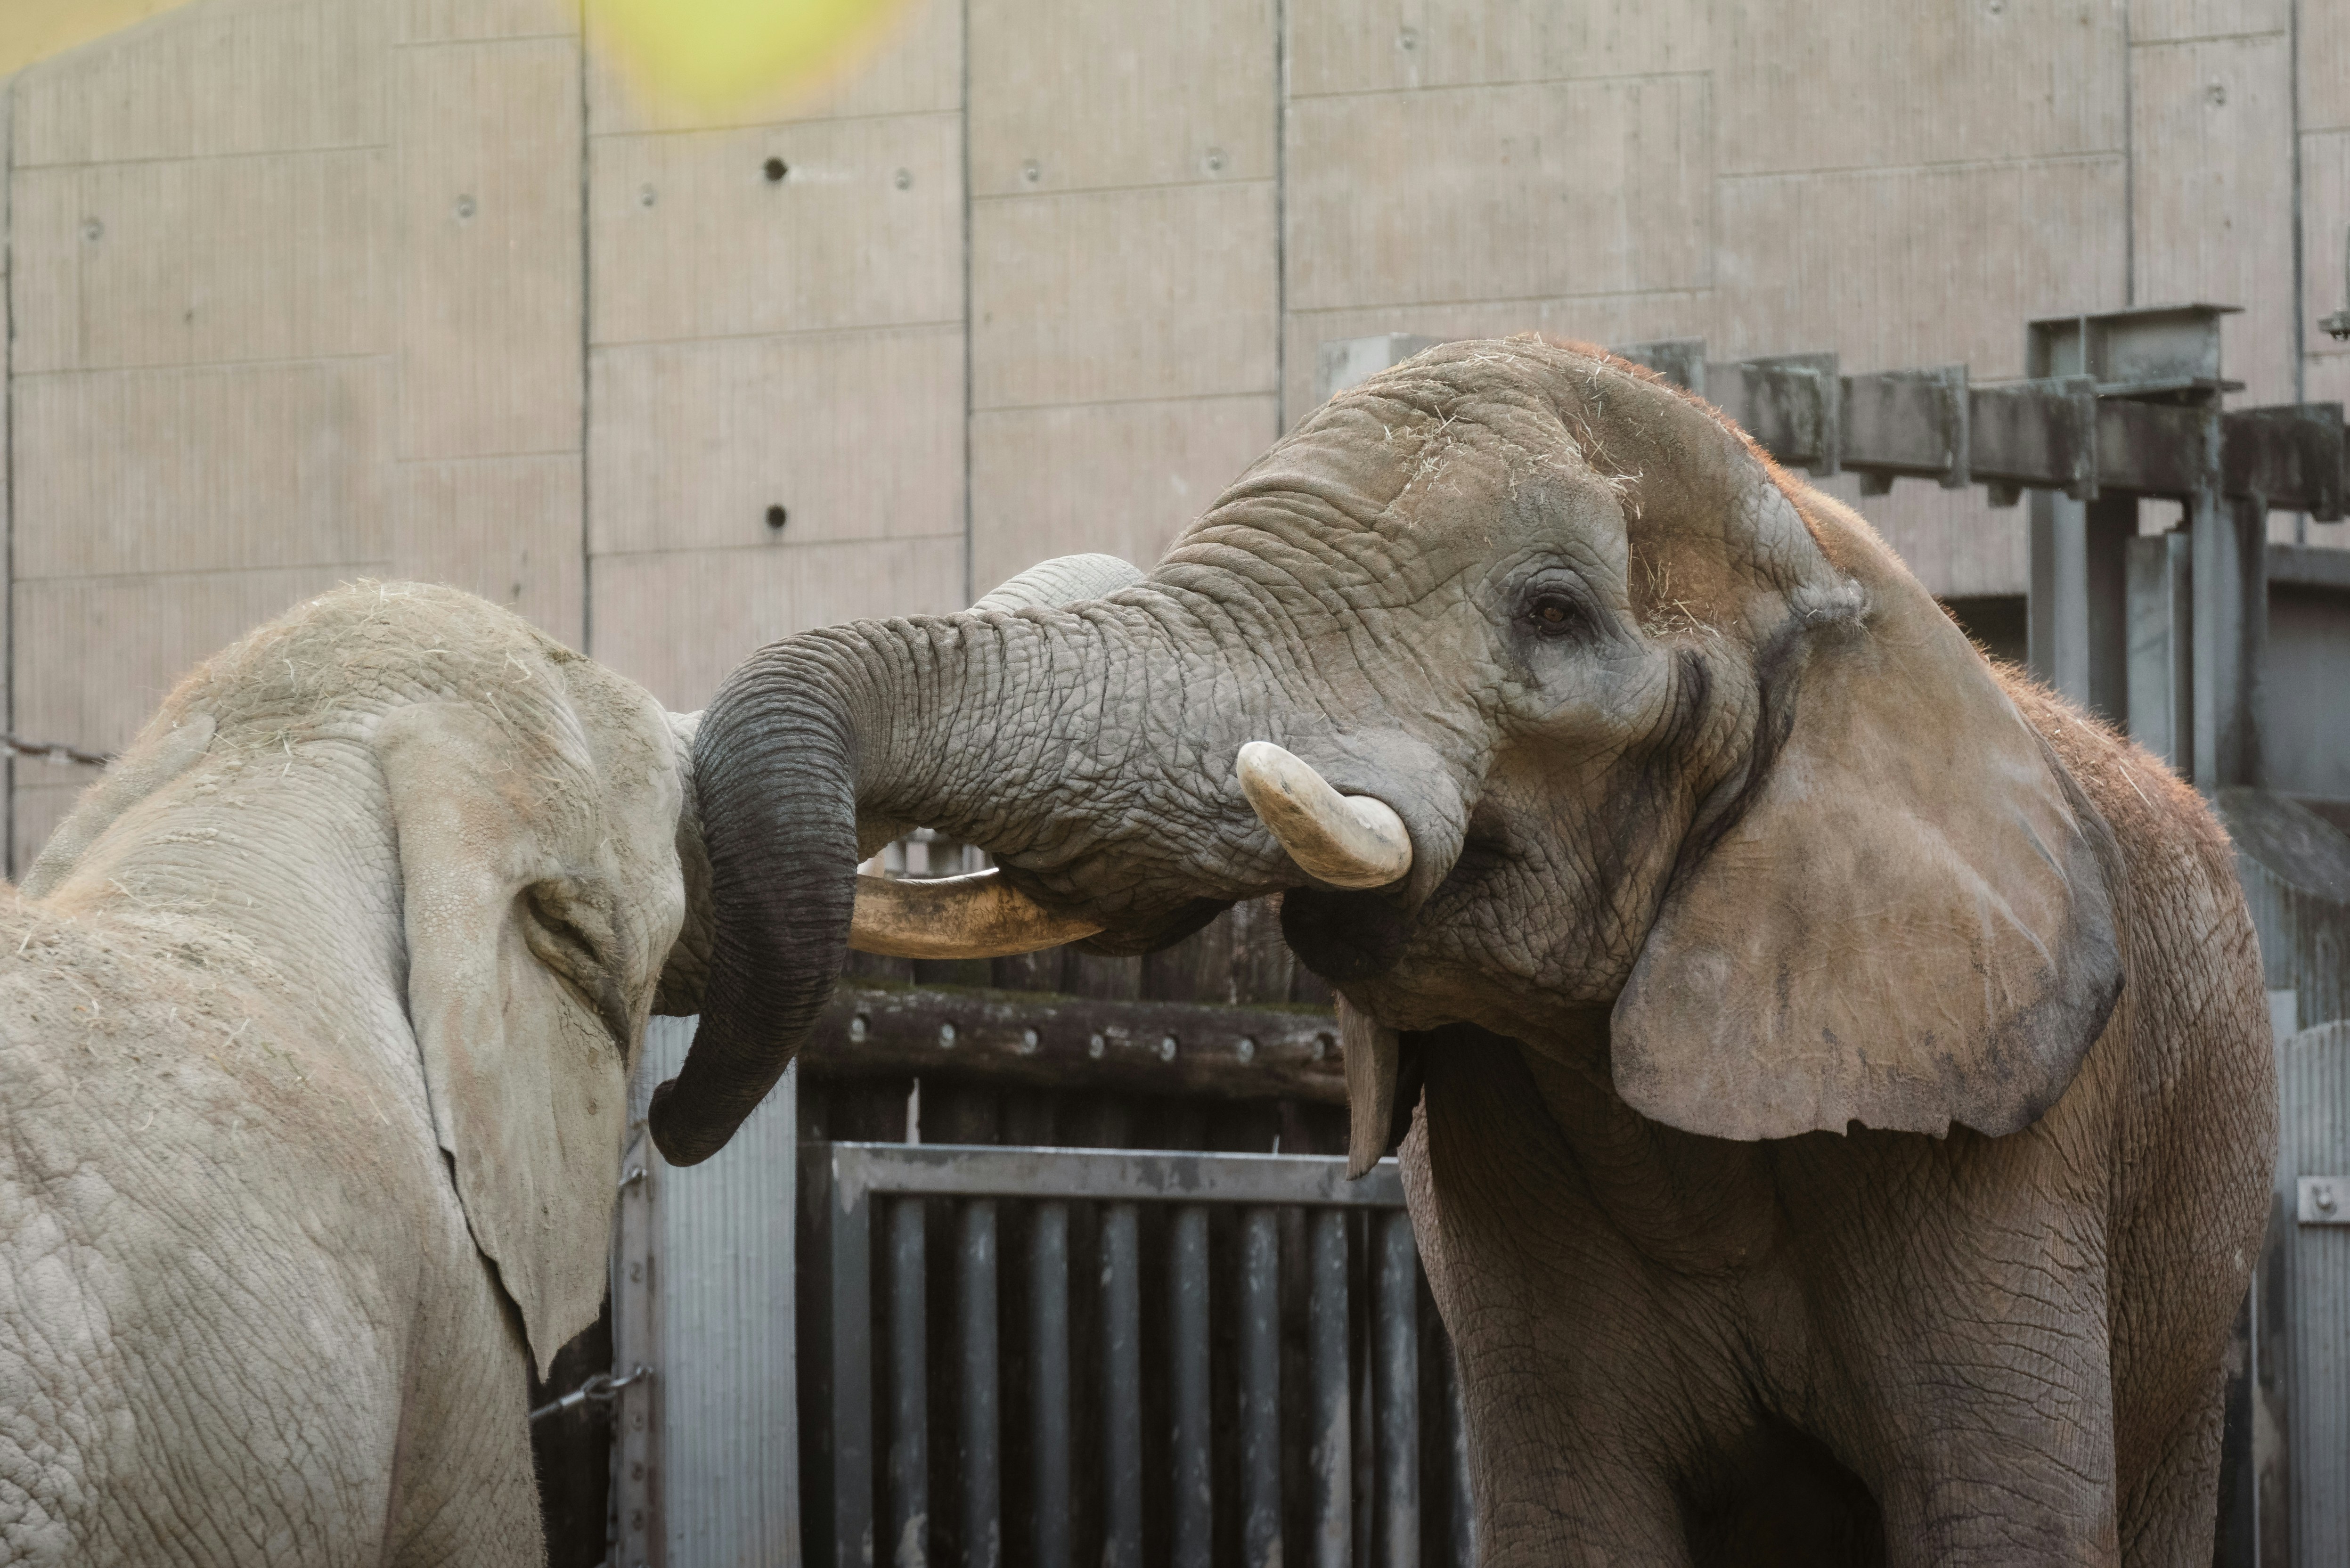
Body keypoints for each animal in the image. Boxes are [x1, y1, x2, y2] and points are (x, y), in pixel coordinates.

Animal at [652, 337, 2276, 1565]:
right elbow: (1573, 1520)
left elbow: (1997, 1516)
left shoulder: (2004, 1118)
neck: (1818, 542)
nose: (666, 1113)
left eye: (1550, 612)